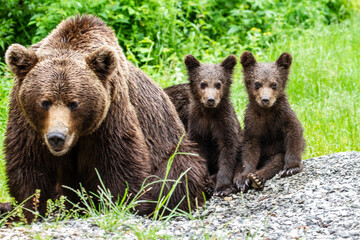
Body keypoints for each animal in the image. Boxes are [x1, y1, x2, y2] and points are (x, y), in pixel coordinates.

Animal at [3, 14, 205, 221]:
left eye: (74, 103)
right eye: (45, 102)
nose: (57, 137)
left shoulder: (110, 113)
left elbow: (119, 163)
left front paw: (120, 205)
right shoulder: (27, 121)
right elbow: (30, 165)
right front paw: (31, 209)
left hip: (173, 146)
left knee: (176, 175)